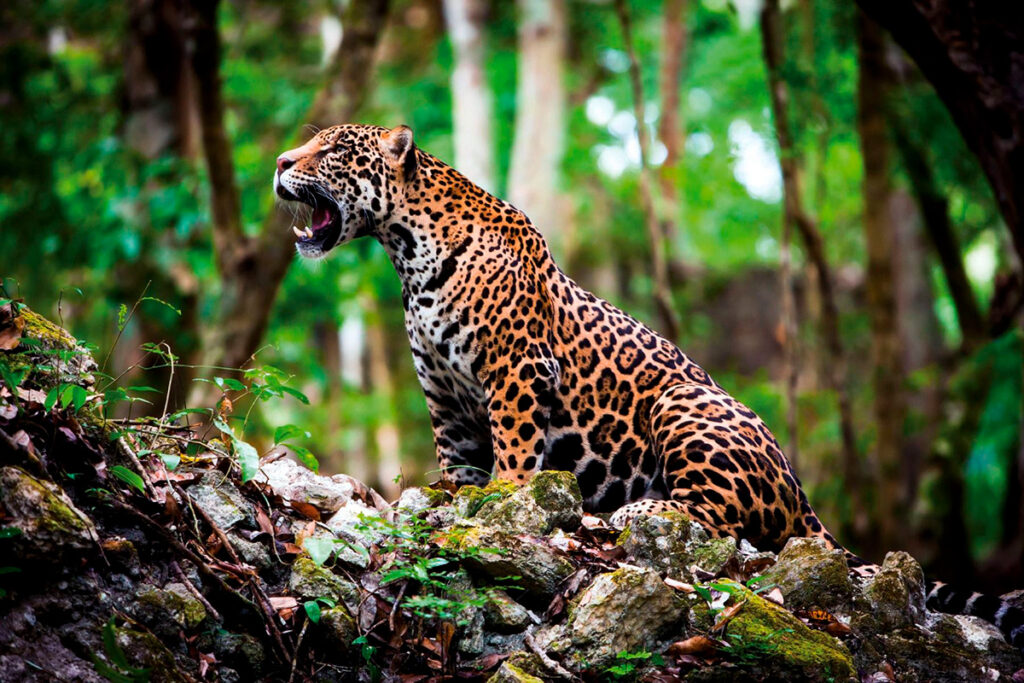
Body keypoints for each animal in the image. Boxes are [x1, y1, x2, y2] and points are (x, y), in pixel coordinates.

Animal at [274, 123, 1024, 648]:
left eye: (332, 148)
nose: (282, 163)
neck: (406, 251)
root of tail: (805, 501)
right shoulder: (444, 395)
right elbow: (455, 464)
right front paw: (451, 500)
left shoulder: (513, 370)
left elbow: (514, 453)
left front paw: (502, 503)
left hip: (685, 407)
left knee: (726, 527)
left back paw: (633, 512)